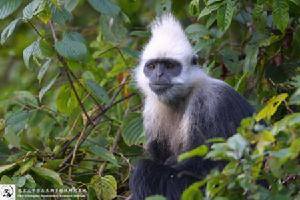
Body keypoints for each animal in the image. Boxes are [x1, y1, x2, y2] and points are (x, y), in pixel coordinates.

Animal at [129, 13, 255, 199]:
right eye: (151, 66)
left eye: (170, 66)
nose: (158, 74)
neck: (180, 100)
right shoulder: (153, 107)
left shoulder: (211, 101)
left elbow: (216, 164)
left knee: (144, 170)